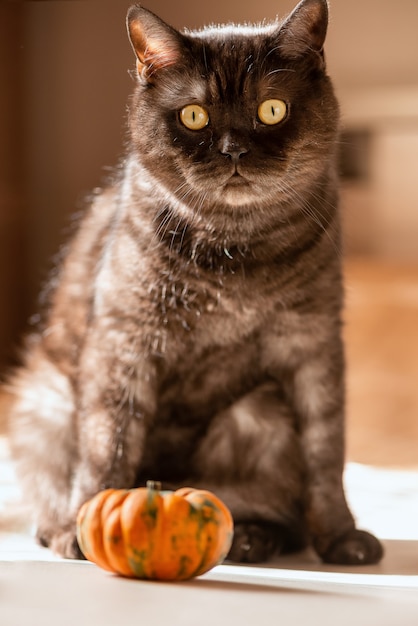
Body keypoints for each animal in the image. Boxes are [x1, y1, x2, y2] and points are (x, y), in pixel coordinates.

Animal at [8, 0, 384, 564]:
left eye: (272, 110)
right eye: (194, 116)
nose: (233, 150)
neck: (233, 251)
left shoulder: (313, 344)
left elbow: (326, 452)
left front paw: (341, 536)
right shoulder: (124, 344)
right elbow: (107, 443)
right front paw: (85, 525)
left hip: (259, 411)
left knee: (279, 516)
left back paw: (251, 537)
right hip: (45, 403)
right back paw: (58, 530)